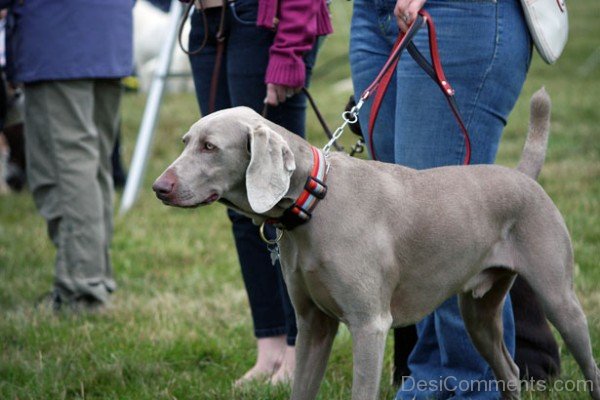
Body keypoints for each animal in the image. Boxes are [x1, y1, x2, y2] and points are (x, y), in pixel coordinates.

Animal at [152, 89, 596, 398]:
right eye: (185, 142)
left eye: (210, 147)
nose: (159, 187)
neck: (315, 203)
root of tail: (523, 177)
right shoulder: (313, 325)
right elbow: (301, 387)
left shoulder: (370, 325)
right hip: (479, 313)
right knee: (510, 370)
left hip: (559, 299)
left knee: (589, 365)